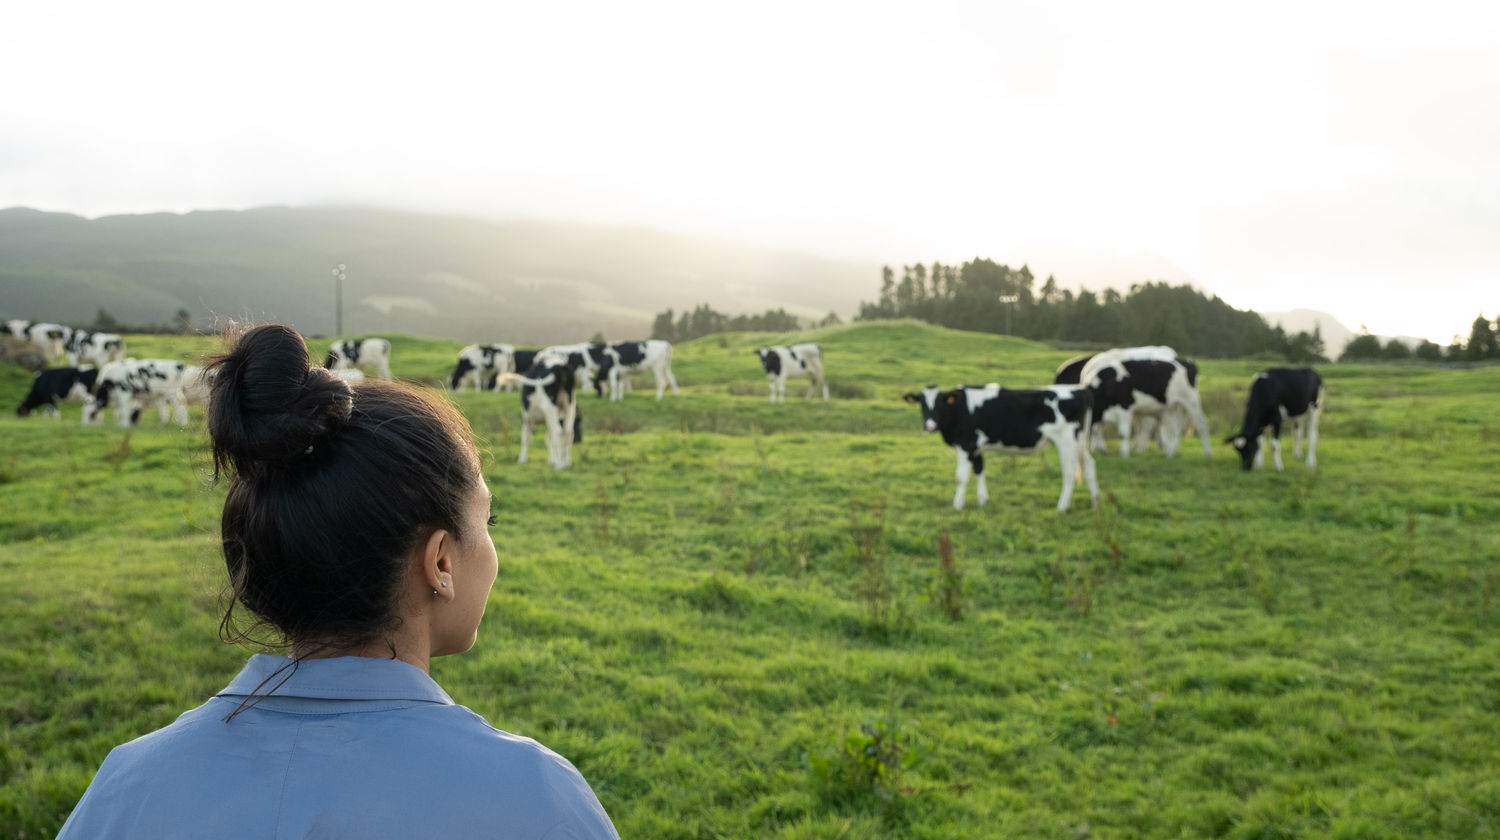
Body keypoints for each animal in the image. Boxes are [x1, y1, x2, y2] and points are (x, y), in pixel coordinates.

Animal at [900, 382, 1104, 513]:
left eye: (940, 404)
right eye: (922, 404)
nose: (929, 426)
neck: (959, 409)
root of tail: (1080, 389)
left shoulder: (966, 445)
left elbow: (961, 477)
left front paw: (957, 505)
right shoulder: (976, 447)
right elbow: (979, 470)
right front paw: (982, 500)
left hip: (1067, 442)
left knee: (1070, 471)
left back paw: (1062, 506)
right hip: (1080, 442)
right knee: (1090, 465)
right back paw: (1095, 502)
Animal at [1074, 345, 1212, 456]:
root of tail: (1188, 363)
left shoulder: (1125, 407)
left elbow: (1123, 432)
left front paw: (1124, 453)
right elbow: (1099, 428)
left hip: (1190, 399)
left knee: (1201, 423)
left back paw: (1207, 453)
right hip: (1173, 405)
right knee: (1177, 426)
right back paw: (1171, 453)